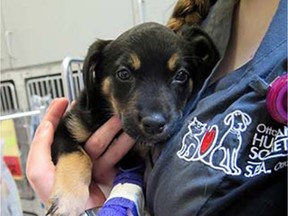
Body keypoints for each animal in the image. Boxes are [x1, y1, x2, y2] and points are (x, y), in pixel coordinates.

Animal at [46, 22, 218, 215]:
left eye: (181, 75)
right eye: (123, 74)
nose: (154, 124)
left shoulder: (136, 159)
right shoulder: (66, 127)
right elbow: (79, 157)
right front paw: (67, 200)